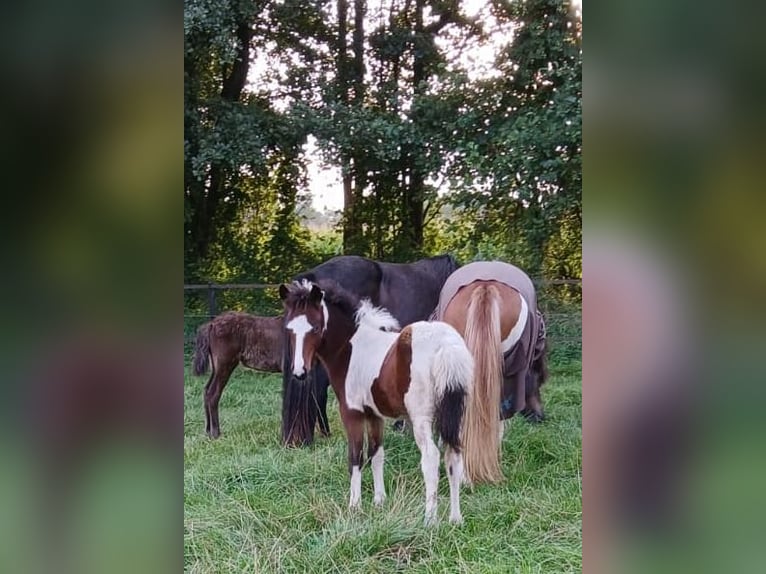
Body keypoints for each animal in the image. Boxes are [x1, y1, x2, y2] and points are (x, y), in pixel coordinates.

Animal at [282, 280, 474, 528]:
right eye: (289, 329)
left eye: (315, 328)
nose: (300, 373)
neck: (349, 348)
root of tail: (446, 345)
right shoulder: (374, 414)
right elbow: (377, 454)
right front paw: (379, 500)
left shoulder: (352, 412)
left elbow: (356, 456)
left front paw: (354, 505)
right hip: (456, 413)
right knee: (454, 455)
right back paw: (455, 518)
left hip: (422, 418)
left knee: (431, 458)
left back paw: (429, 519)